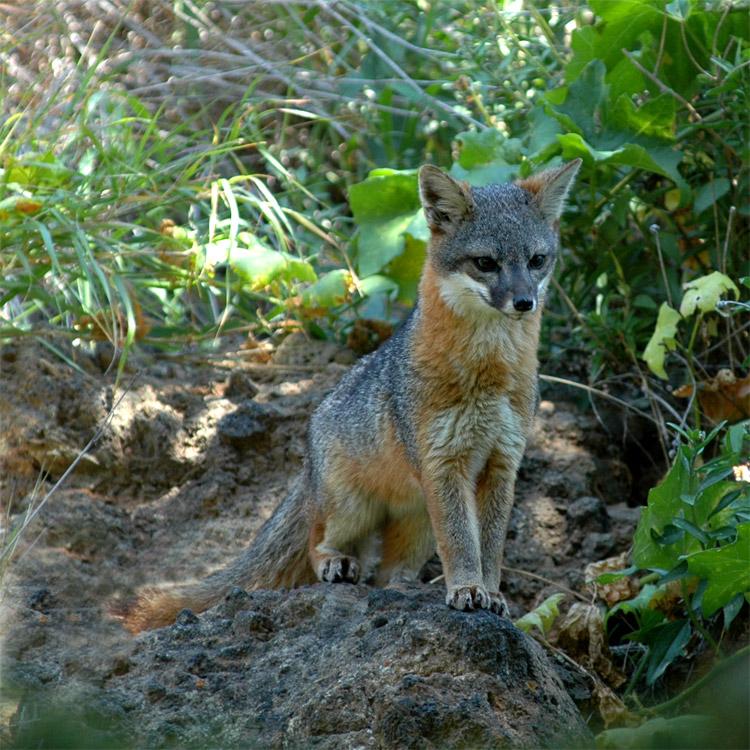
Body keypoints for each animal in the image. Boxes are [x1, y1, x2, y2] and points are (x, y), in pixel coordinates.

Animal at [122, 159, 580, 636]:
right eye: (486, 263)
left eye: (537, 261)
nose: (524, 302)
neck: (489, 374)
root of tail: (309, 454)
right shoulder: (443, 463)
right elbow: (460, 543)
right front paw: (467, 590)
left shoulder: (502, 464)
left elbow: (488, 547)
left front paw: (490, 593)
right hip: (352, 510)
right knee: (316, 542)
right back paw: (335, 563)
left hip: (417, 523)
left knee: (386, 572)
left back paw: (401, 587)